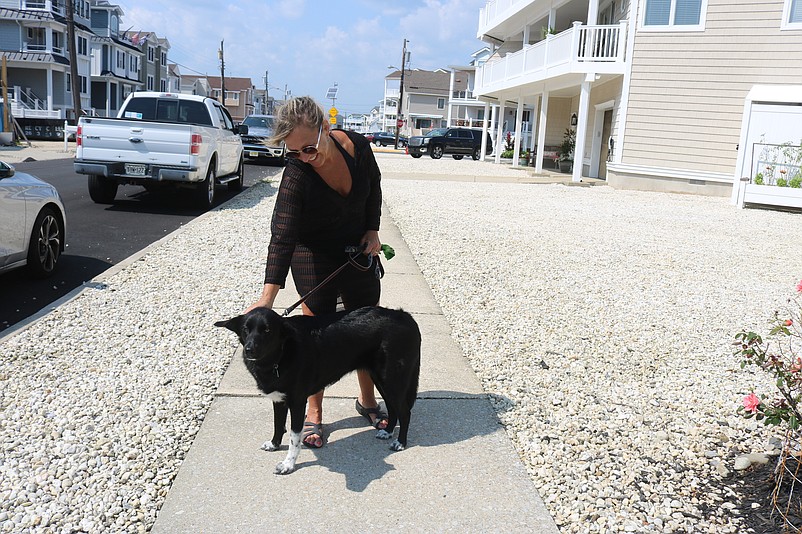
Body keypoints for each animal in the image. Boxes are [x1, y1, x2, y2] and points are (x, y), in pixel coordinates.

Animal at [216, 308, 422, 476]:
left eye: (267, 330)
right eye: (246, 329)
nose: (249, 350)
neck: (280, 355)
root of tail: (406, 317)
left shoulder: (298, 403)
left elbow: (294, 437)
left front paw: (288, 465)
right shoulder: (279, 400)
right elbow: (278, 425)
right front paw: (274, 445)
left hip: (392, 379)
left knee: (405, 411)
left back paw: (400, 442)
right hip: (380, 379)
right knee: (393, 408)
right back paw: (387, 431)